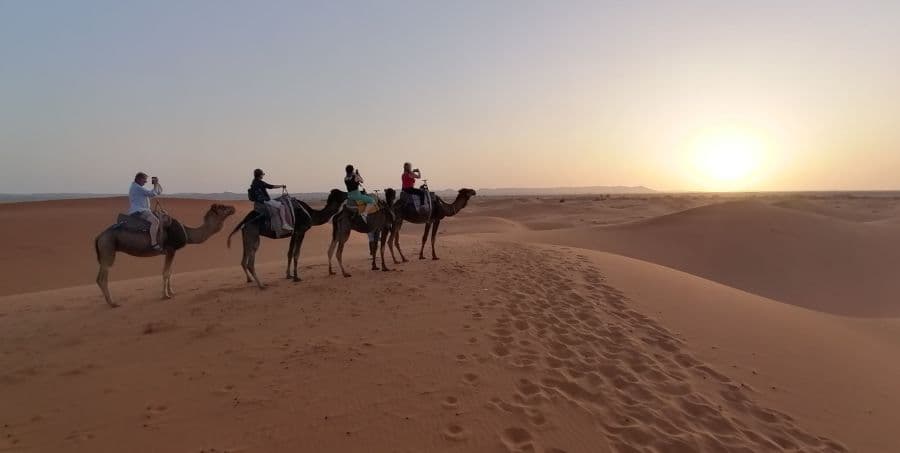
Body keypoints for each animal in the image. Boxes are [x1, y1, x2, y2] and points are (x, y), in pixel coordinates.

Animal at [94, 204, 236, 308]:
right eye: (222, 207)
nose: (233, 207)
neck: (187, 232)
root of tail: (99, 236)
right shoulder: (170, 250)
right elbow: (166, 273)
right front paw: (165, 296)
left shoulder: (171, 252)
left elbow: (170, 272)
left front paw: (171, 292)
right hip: (108, 249)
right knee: (102, 277)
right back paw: (113, 303)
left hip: (105, 250)